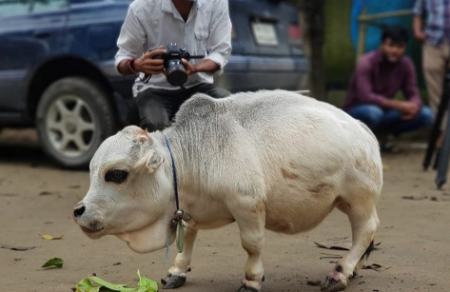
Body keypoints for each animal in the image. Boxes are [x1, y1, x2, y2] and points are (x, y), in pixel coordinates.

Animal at [74, 89, 384, 292]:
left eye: (116, 174)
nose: (79, 211)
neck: (190, 158)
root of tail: (362, 129)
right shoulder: (190, 210)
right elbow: (189, 237)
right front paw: (177, 270)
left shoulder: (247, 204)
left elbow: (252, 245)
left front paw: (252, 279)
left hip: (359, 199)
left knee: (366, 229)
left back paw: (341, 272)